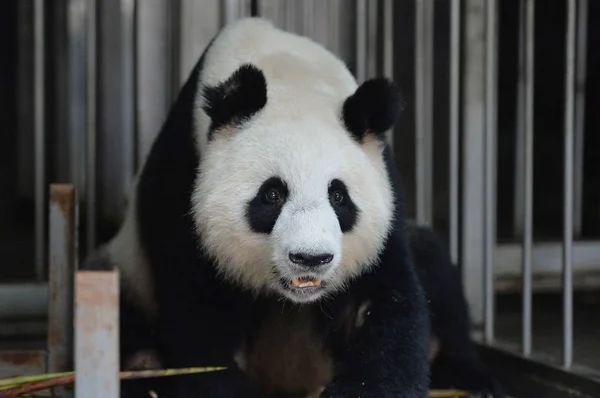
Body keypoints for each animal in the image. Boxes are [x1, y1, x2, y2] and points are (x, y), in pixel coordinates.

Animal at [83, 16, 506, 398]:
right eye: (272, 195)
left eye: (338, 196)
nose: (311, 258)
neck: (289, 74)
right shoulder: (182, 182)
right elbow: (197, 319)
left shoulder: (387, 198)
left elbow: (390, 302)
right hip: (128, 270)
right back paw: (142, 366)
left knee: (437, 268)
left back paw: (470, 378)